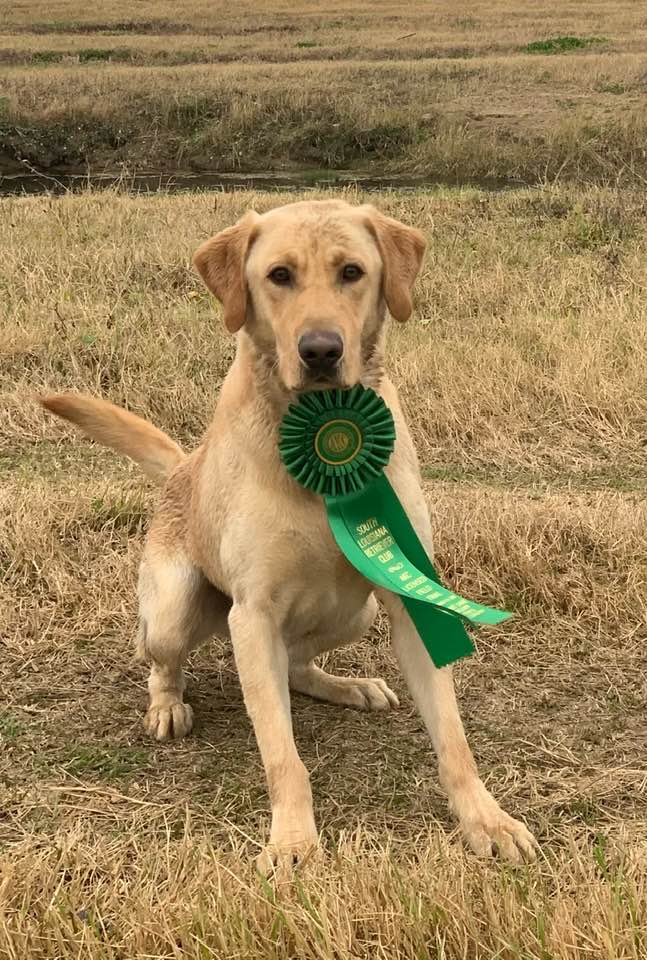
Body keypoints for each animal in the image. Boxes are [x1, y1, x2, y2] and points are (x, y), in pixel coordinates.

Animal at [40, 201, 536, 872]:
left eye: (352, 271)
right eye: (279, 275)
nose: (321, 350)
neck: (321, 427)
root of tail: (185, 466)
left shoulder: (410, 595)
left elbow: (454, 740)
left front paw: (485, 819)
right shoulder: (252, 615)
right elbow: (282, 754)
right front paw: (295, 840)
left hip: (354, 612)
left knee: (298, 665)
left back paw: (346, 685)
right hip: (176, 609)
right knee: (160, 658)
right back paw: (167, 703)